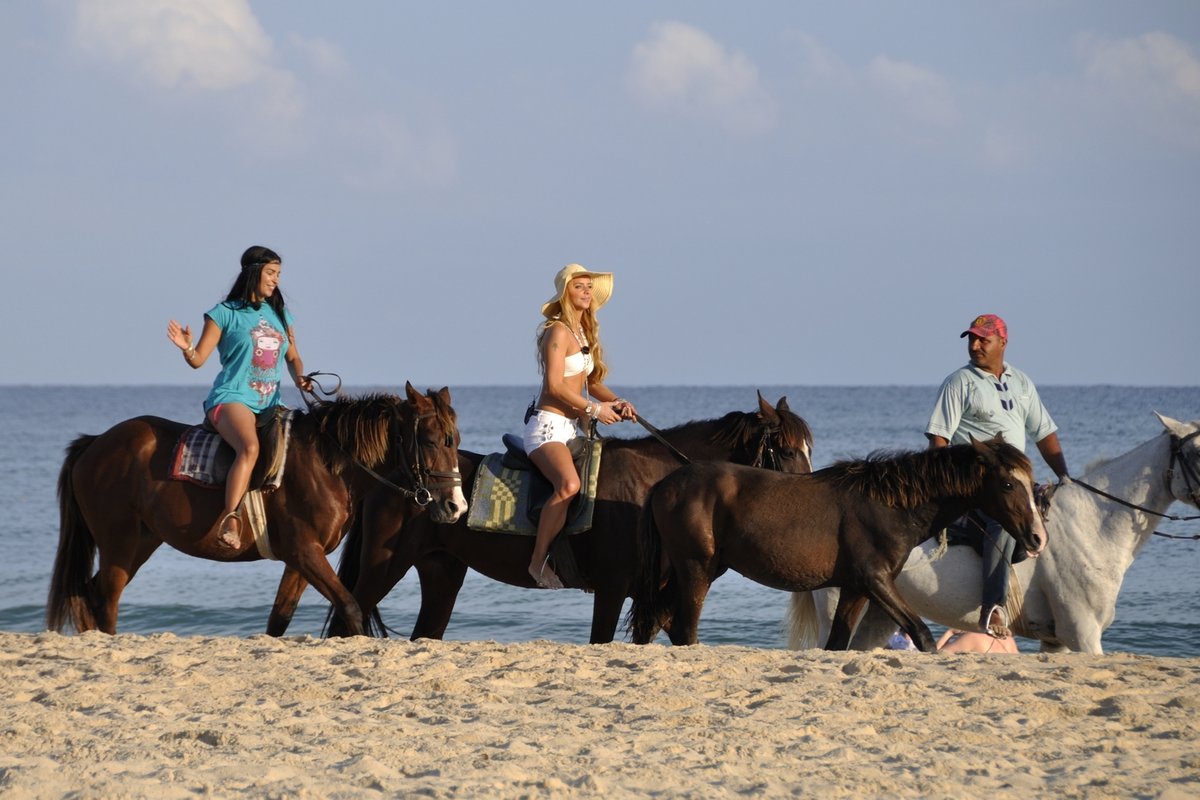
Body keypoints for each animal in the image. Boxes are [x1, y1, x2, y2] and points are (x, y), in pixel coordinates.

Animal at [44, 381, 463, 638]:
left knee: (92, 594)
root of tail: (96, 443)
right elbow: (351, 608)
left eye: (455, 440)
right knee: (106, 599)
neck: (327, 464)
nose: (455, 506)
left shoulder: (300, 560)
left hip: (140, 543)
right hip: (119, 543)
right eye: (430, 440)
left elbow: (278, 621)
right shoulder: (305, 553)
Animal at [328, 393, 816, 642]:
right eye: (786, 449)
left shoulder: (653, 595)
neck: (650, 485)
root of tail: (399, 479)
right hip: (384, 565)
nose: (808, 495)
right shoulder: (614, 587)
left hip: (442, 570)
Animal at [633, 438, 1046, 652]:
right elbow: (924, 636)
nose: (1037, 537)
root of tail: (667, 483)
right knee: (683, 629)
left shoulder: (855, 588)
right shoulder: (875, 581)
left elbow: (837, 644)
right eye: (1008, 484)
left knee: (661, 621)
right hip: (696, 570)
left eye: (1030, 483)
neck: (888, 505)